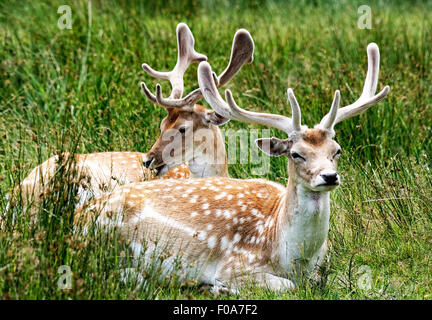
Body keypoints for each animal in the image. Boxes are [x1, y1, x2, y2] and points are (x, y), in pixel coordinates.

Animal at [76, 40, 390, 292]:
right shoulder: (236, 264)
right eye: (296, 154)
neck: (292, 256)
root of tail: (73, 218)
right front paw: (218, 286)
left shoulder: (321, 267)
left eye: (337, 151)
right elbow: (287, 286)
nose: (329, 176)